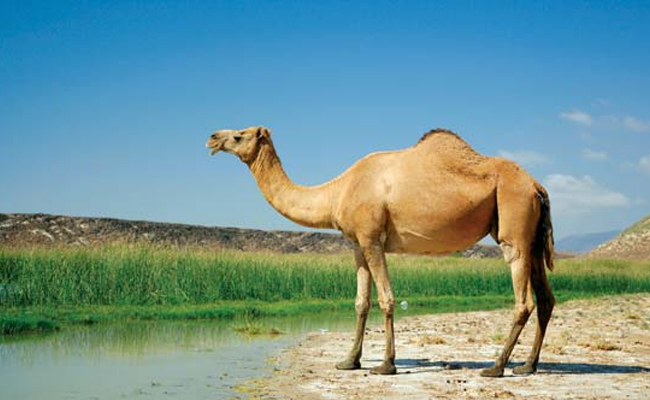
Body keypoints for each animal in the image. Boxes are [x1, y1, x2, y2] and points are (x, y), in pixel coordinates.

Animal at [206, 126, 555, 378]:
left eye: (238, 135)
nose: (212, 137)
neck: (338, 191)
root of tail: (537, 185)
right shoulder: (357, 243)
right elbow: (361, 302)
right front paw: (349, 361)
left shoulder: (372, 238)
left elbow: (387, 299)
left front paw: (386, 364)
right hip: (533, 237)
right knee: (546, 298)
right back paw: (528, 365)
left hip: (514, 223)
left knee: (523, 300)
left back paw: (496, 367)